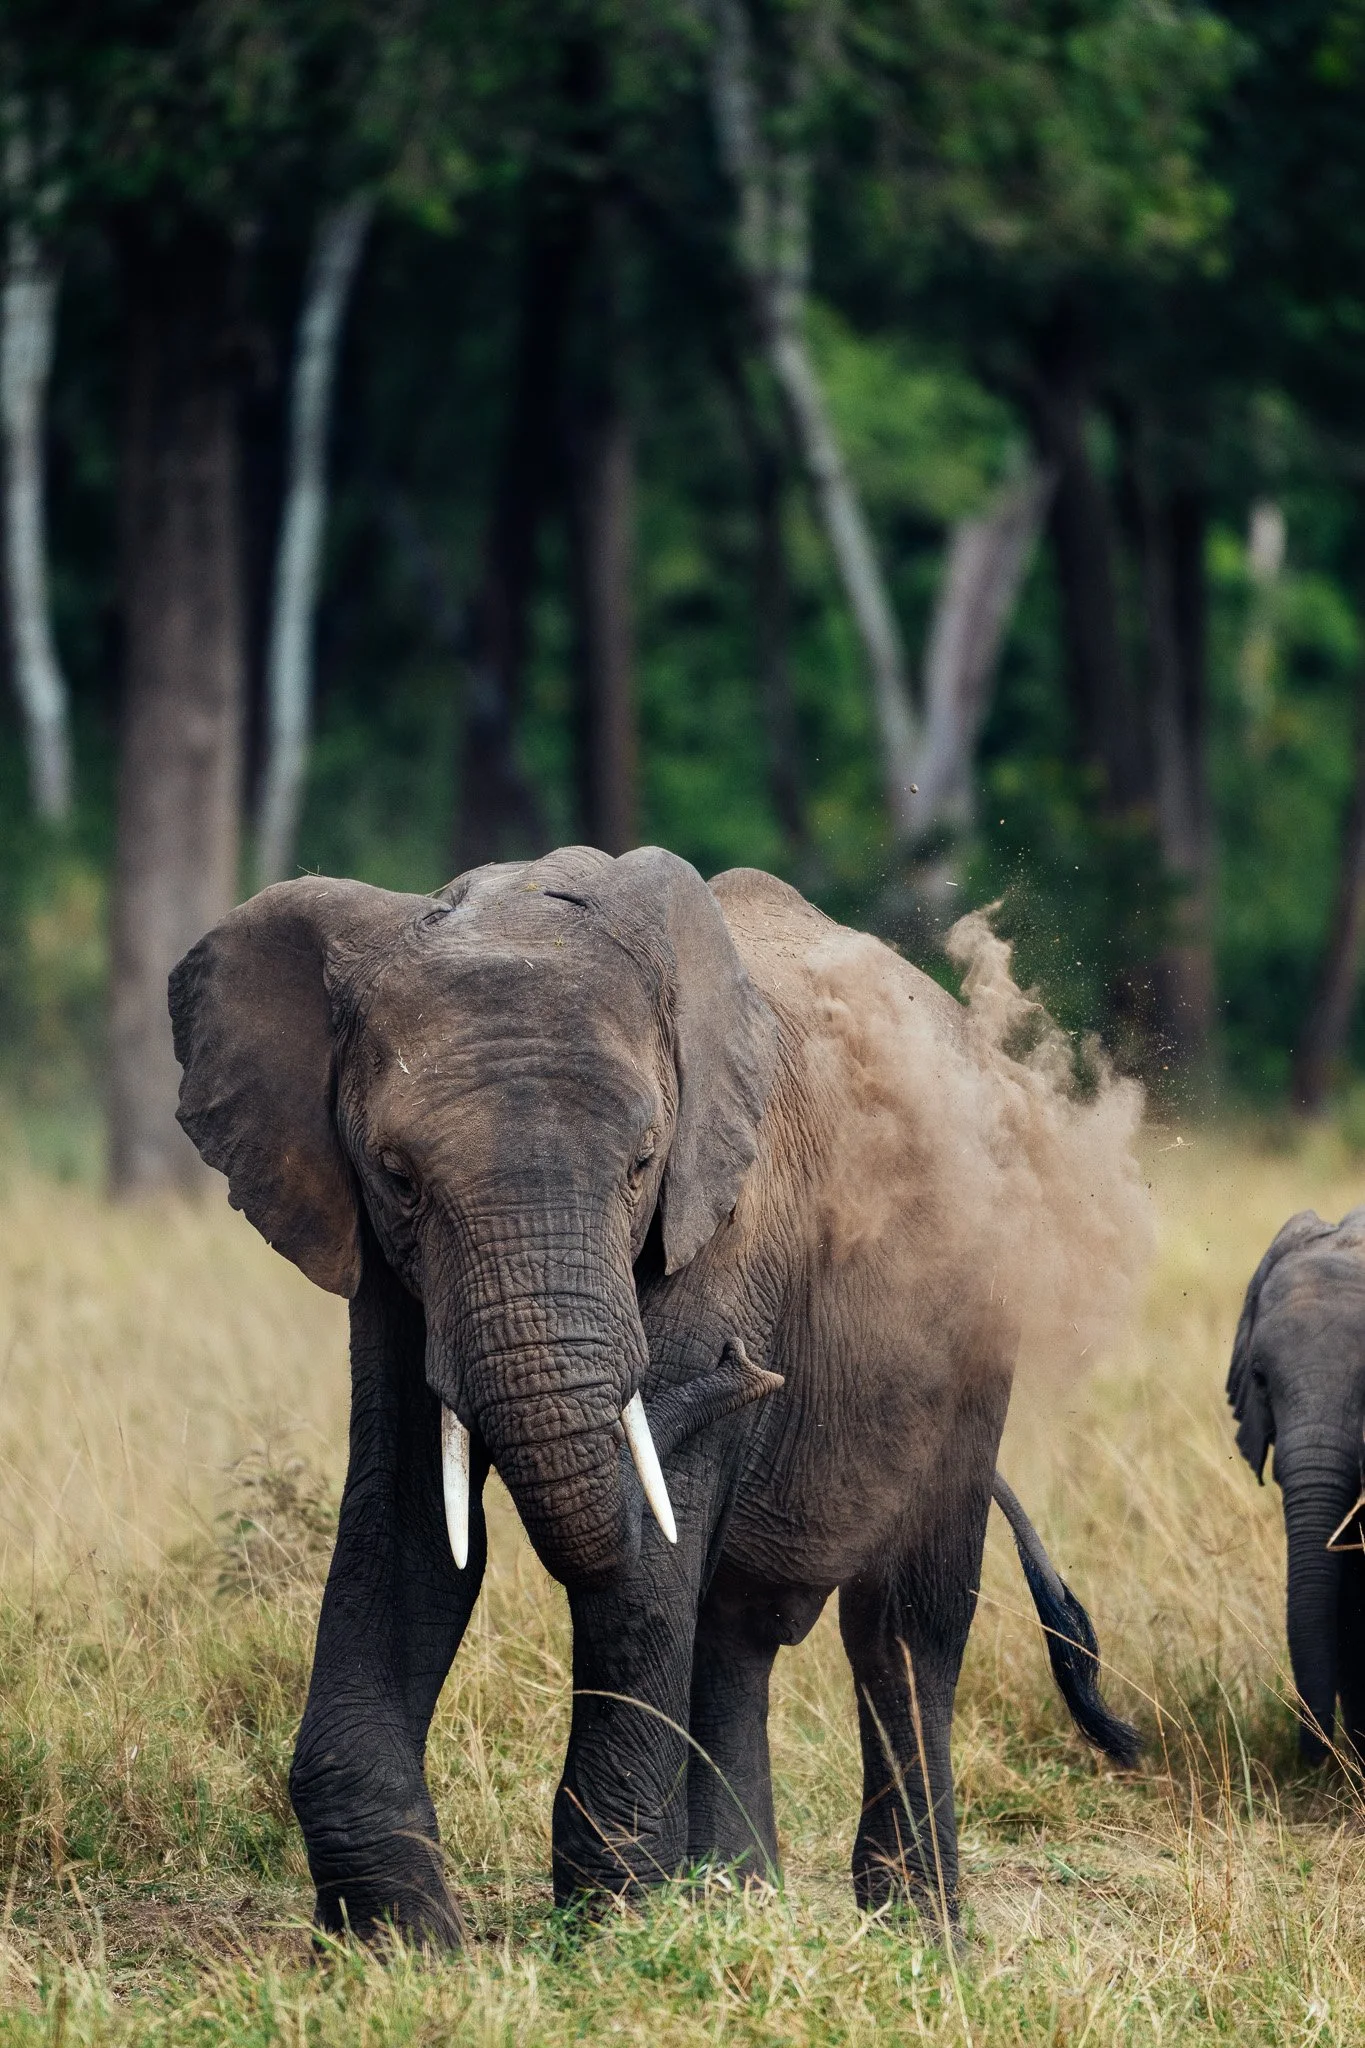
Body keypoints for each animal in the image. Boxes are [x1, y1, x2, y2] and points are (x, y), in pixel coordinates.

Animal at [169, 845, 1138, 1946]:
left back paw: (913, 1930)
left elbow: (645, 1560)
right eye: (397, 1175)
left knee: (904, 1622)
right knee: (732, 1628)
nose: (752, 1367)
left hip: (980, 1314)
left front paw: (611, 1930)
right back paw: (737, 1901)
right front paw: (401, 1941)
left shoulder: (723, 1216)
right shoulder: (383, 1260)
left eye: (641, 1163)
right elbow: (411, 1516)